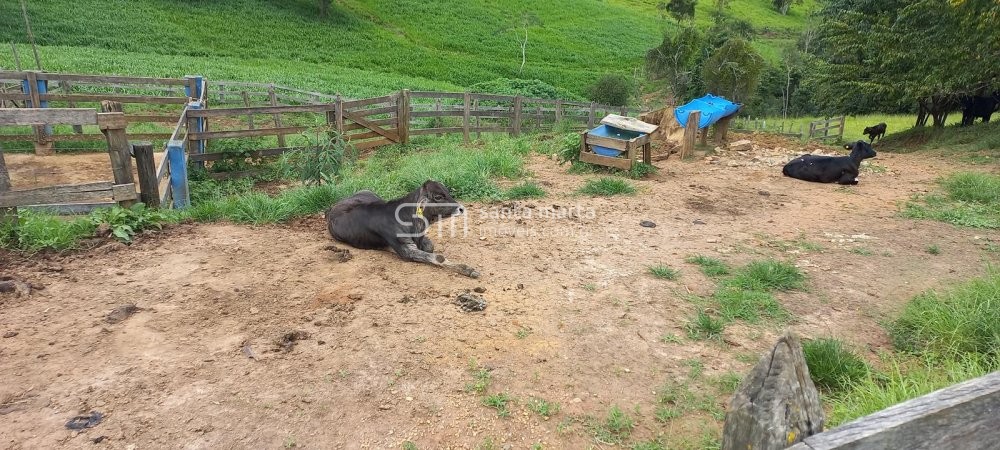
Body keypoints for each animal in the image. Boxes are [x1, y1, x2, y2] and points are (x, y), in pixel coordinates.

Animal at [320, 179, 476, 278]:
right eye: (438, 197)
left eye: (447, 192)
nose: (461, 208)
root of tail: (333, 207)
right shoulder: (405, 249)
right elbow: (438, 257)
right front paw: (467, 269)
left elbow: (430, 247)